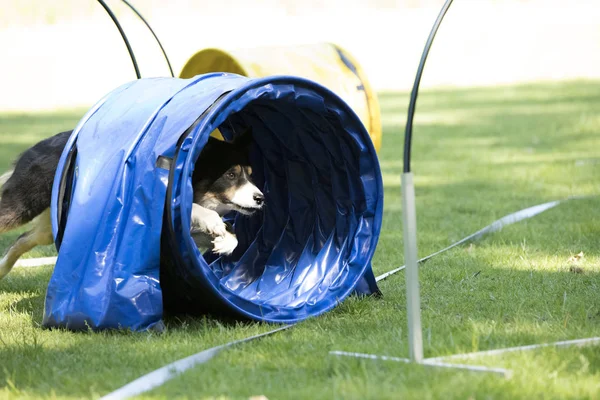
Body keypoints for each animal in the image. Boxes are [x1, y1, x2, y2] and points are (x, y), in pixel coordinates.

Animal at [0, 126, 262, 280]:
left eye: (250, 174)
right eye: (231, 175)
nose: (261, 198)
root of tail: (35, 146)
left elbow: (232, 234)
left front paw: (224, 242)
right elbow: (197, 210)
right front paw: (214, 223)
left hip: (49, 226)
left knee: (22, 239)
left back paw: (2, 270)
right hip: (23, 203)